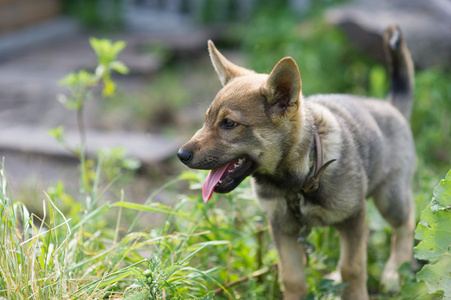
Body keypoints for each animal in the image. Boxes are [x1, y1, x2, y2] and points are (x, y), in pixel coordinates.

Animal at [177, 26, 416, 300]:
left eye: (229, 123)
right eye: (206, 119)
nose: (181, 154)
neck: (297, 180)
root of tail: (390, 105)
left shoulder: (353, 216)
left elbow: (352, 268)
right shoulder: (283, 227)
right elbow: (292, 278)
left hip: (390, 198)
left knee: (406, 225)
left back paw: (394, 274)